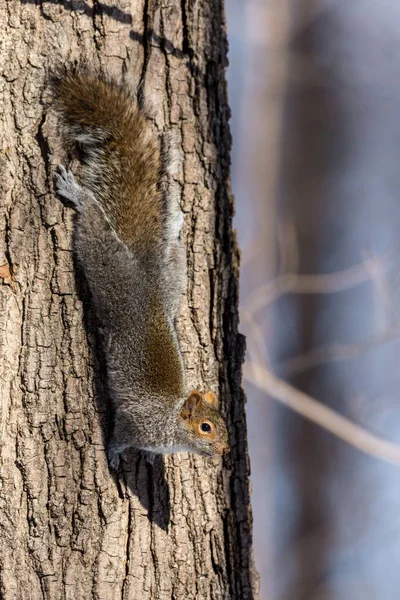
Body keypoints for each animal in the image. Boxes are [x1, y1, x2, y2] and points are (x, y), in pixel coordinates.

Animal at [50, 69, 228, 468]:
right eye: (206, 428)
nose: (224, 452)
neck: (169, 421)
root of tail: (145, 277)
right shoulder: (135, 422)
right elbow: (120, 435)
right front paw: (116, 455)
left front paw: (145, 458)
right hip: (107, 265)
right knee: (94, 227)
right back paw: (77, 194)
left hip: (172, 279)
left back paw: (175, 222)